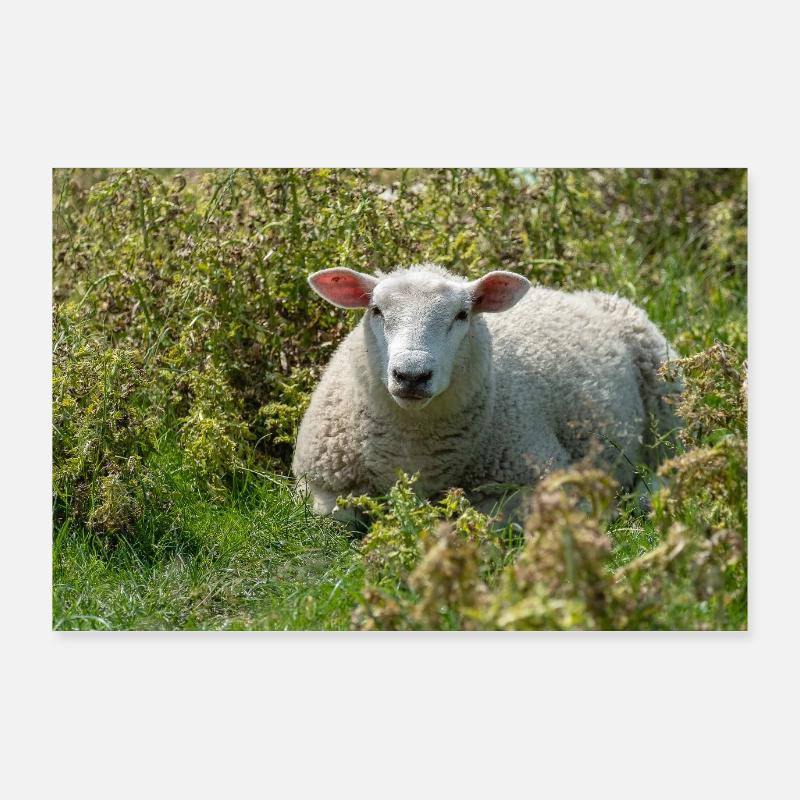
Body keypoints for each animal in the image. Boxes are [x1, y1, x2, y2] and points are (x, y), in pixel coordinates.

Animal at [292, 263, 682, 519]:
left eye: (462, 315)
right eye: (376, 310)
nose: (412, 375)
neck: (415, 450)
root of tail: (573, 292)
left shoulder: (534, 480)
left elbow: (485, 519)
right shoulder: (320, 486)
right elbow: (334, 514)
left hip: (666, 397)